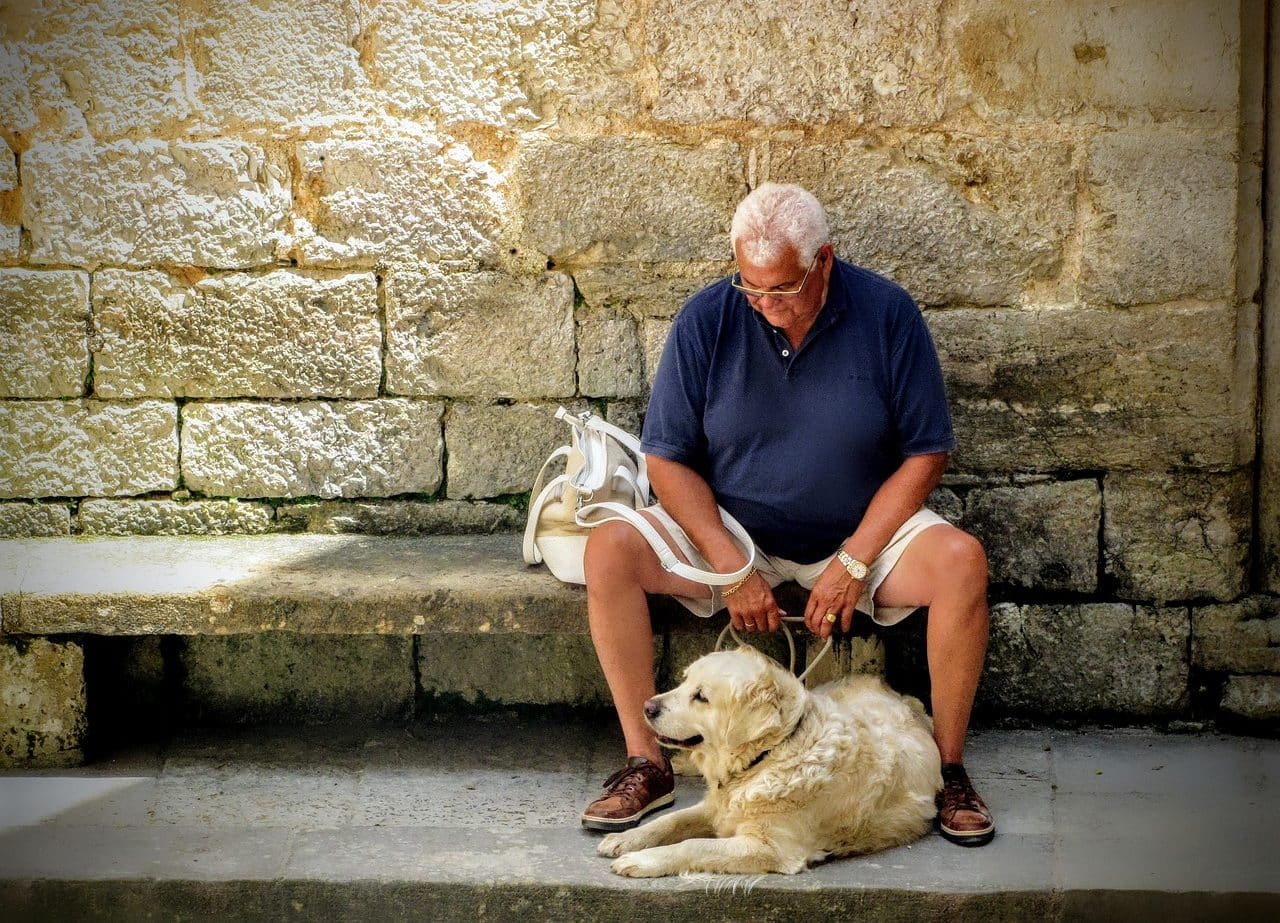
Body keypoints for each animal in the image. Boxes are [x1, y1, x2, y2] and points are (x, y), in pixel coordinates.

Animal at [596, 645, 942, 875]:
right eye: (683, 681)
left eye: (701, 697)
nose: (647, 707)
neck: (769, 756)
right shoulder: (716, 807)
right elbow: (669, 820)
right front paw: (626, 839)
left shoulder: (771, 848)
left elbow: (693, 845)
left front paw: (643, 860)